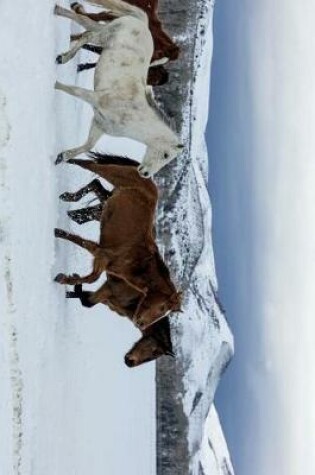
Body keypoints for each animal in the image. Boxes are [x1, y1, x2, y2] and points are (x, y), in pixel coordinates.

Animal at [53, 0, 183, 178]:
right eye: (166, 155)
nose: (145, 174)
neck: (132, 114)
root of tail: (143, 23)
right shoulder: (95, 98)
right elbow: (72, 91)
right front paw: (54, 84)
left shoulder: (99, 125)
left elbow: (87, 146)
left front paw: (62, 156)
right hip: (105, 35)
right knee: (87, 34)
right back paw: (63, 51)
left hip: (103, 32)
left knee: (86, 24)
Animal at [55, 153, 181, 330]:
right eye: (162, 308)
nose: (141, 324)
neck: (138, 261)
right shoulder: (102, 254)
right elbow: (90, 272)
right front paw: (63, 277)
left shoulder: (101, 258)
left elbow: (90, 276)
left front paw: (67, 278)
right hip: (112, 174)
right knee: (87, 164)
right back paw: (63, 159)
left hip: (111, 195)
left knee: (95, 184)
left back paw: (71, 202)